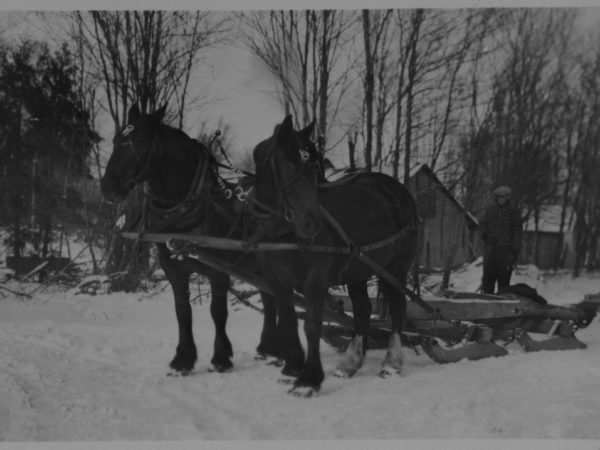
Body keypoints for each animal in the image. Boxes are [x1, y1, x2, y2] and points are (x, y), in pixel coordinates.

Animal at [101, 106, 304, 376]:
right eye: (116, 140)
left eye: (139, 143)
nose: (106, 187)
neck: (190, 209)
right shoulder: (173, 269)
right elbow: (182, 311)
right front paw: (183, 359)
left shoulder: (218, 271)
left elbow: (217, 311)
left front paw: (221, 357)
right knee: (271, 300)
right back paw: (268, 348)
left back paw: (279, 350)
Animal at [252, 117, 418, 398]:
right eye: (288, 165)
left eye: (314, 167)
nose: (312, 223)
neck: (284, 232)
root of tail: (399, 189)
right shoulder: (276, 279)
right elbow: (288, 319)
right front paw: (292, 368)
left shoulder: (315, 279)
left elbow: (311, 325)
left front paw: (309, 380)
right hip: (358, 269)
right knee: (363, 310)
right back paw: (350, 363)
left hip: (397, 267)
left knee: (398, 308)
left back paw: (392, 362)